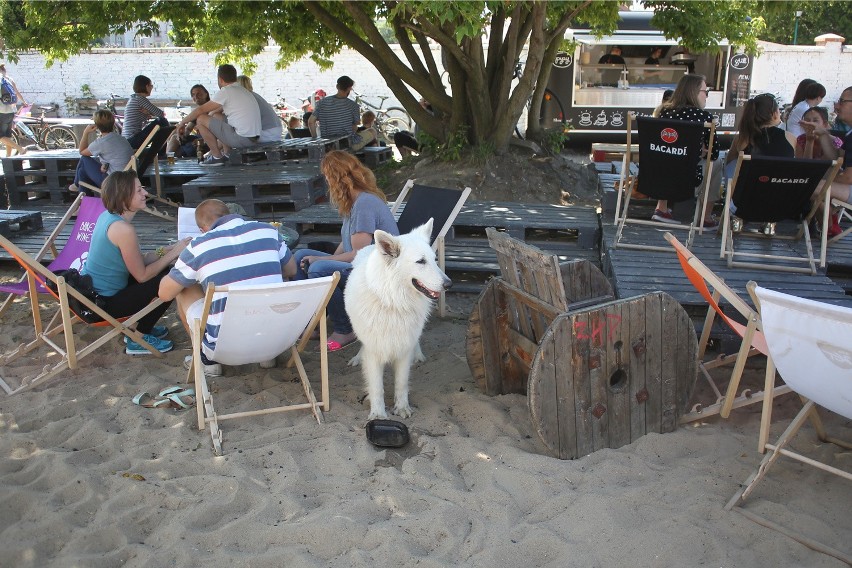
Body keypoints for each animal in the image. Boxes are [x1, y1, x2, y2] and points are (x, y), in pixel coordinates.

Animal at [346, 220, 452, 420]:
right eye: (421, 261)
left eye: (434, 259)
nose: (449, 284)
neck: (394, 301)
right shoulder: (374, 351)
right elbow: (376, 387)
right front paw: (378, 414)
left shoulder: (404, 348)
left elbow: (401, 383)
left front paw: (402, 408)